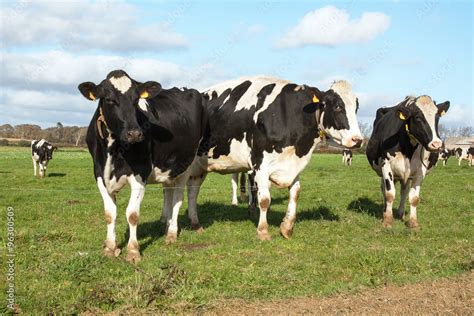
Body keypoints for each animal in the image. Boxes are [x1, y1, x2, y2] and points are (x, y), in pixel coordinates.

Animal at [77, 70, 206, 262]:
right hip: (167, 167)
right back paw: (166, 224)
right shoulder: (99, 174)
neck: (114, 150)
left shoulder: (140, 175)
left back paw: (172, 233)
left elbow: (132, 214)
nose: (135, 133)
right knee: (168, 192)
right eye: (109, 99)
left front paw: (133, 251)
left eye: (136, 100)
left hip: (186, 165)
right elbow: (110, 214)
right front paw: (110, 247)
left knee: (179, 197)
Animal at [180, 76, 362, 239]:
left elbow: (295, 193)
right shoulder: (260, 163)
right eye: (337, 106)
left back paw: (195, 224)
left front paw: (287, 228)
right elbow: (264, 199)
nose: (358, 140)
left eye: (356, 107)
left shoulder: (293, 164)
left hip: (199, 167)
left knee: (192, 192)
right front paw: (263, 231)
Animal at [364, 95, 450, 228]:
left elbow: (414, 198)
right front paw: (387, 220)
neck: (408, 149)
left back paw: (400, 213)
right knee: (384, 189)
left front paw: (413, 223)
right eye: (418, 117)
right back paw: (385, 211)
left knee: (404, 190)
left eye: (437, 117)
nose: (436, 144)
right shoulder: (386, 165)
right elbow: (389, 194)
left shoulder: (420, 170)